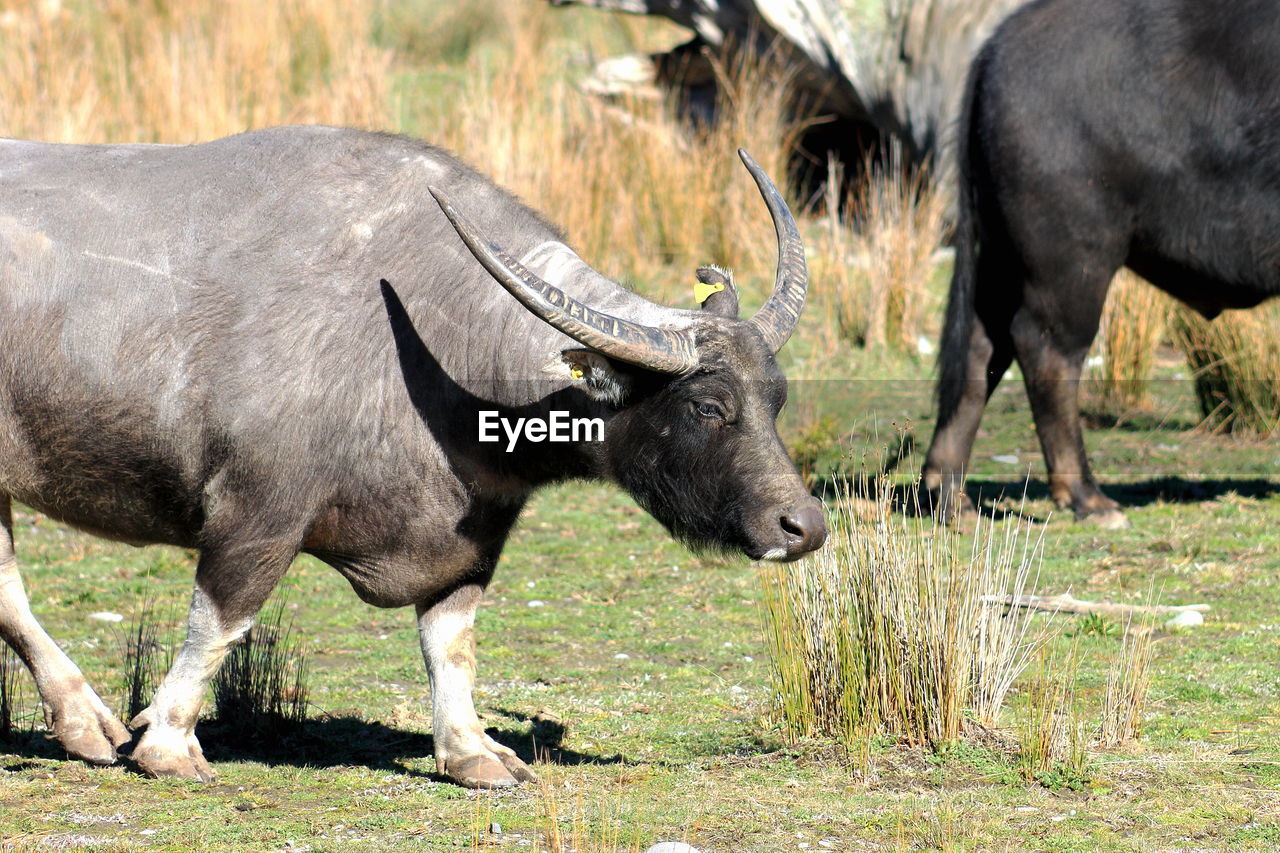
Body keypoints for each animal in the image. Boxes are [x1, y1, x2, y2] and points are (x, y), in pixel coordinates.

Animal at [0, 124, 824, 783]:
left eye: (778, 398)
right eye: (707, 407)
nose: (803, 526)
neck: (432, 336)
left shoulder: (469, 538)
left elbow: (450, 644)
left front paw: (472, 752)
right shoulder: (256, 512)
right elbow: (220, 623)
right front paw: (168, 744)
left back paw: (85, 724)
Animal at [921, 0, 1280, 525]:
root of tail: (999, 46)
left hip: (1002, 257)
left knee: (981, 347)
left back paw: (950, 498)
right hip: (1072, 260)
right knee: (1047, 350)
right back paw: (1088, 498)